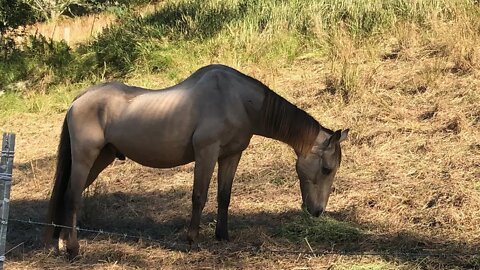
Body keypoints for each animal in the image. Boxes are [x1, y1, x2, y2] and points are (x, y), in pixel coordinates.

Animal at [45, 64, 348, 258]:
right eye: (326, 168)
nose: (317, 211)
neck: (237, 99)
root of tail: (79, 99)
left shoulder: (230, 155)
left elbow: (224, 196)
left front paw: (223, 236)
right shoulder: (206, 152)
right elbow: (199, 196)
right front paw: (192, 239)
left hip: (101, 159)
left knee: (65, 195)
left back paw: (59, 244)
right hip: (85, 158)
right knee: (72, 197)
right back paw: (72, 249)